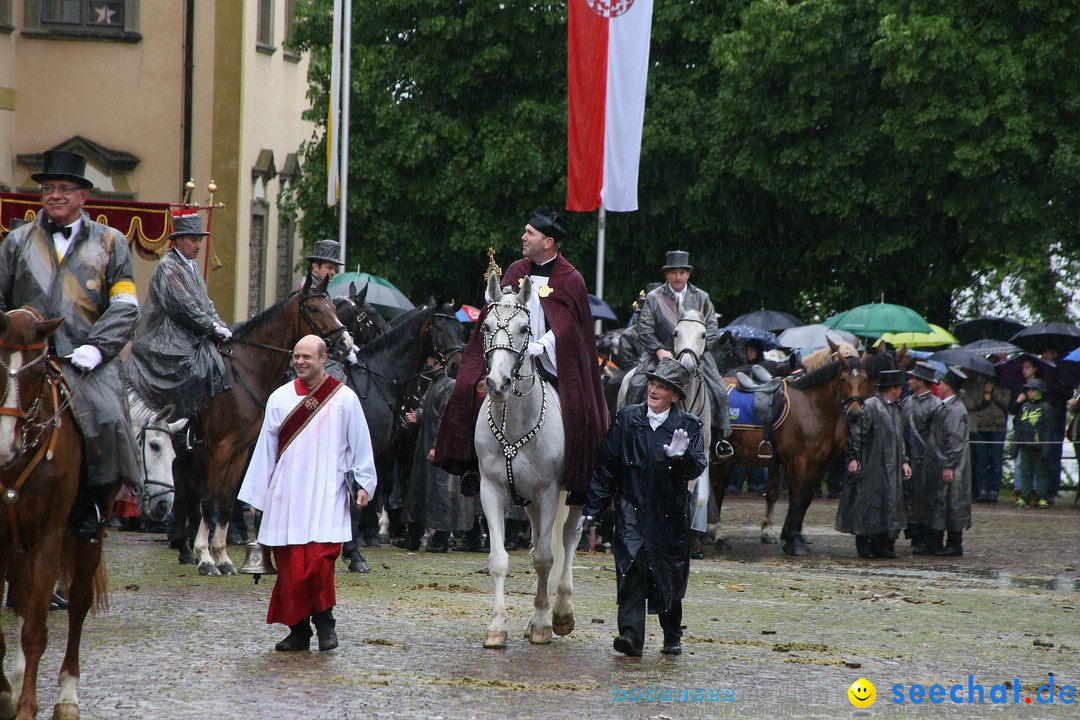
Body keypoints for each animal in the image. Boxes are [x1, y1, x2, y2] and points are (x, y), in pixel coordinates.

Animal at [0, 308, 111, 720]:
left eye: (35, 375)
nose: (5, 447)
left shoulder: (48, 536)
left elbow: (36, 629)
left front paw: (28, 705)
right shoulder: (3, 535)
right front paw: (7, 693)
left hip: (86, 539)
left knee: (76, 602)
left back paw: (66, 696)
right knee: (22, 600)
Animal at [708, 341, 868, 557]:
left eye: (865, 379)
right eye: (842, 379)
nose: (854, 414)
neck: (813, 407)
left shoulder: (820, 463)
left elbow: (803, 499)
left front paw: (792, 535)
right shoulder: (797, 461)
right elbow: (796, 498)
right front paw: (792, 540)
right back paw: (714, 534)